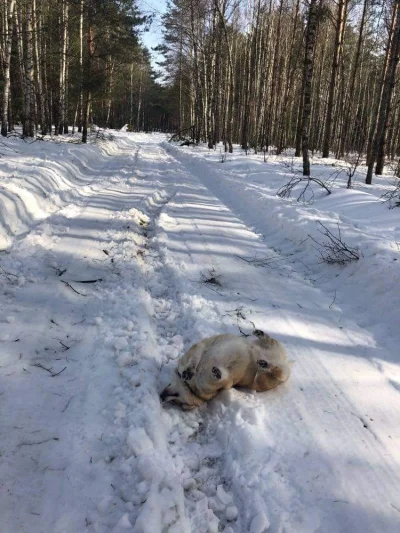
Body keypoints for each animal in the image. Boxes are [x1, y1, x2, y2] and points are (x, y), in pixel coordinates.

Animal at [160, 328, 290, 412]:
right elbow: (220, 378)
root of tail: (282, 359)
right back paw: (264, 363)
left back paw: (261, 336)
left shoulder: (201, 348)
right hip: (265, 378)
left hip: (264, 374)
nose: (161, 396)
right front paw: (217, 373)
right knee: (279, 371)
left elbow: (194, 359)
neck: (190, 385)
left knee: (272, 350)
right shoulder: (219, 384)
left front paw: (189, 370)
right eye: (175, 402)